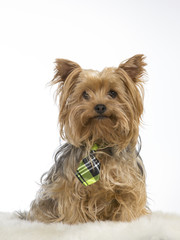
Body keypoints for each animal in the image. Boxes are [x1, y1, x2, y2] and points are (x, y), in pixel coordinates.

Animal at [19, 54, 150, 223]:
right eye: (85, 94)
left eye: (113, 93)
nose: (100, 106)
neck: (99, 141)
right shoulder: (70, 189)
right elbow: (73, 210)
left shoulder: (128, 188)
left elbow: (127, 210)